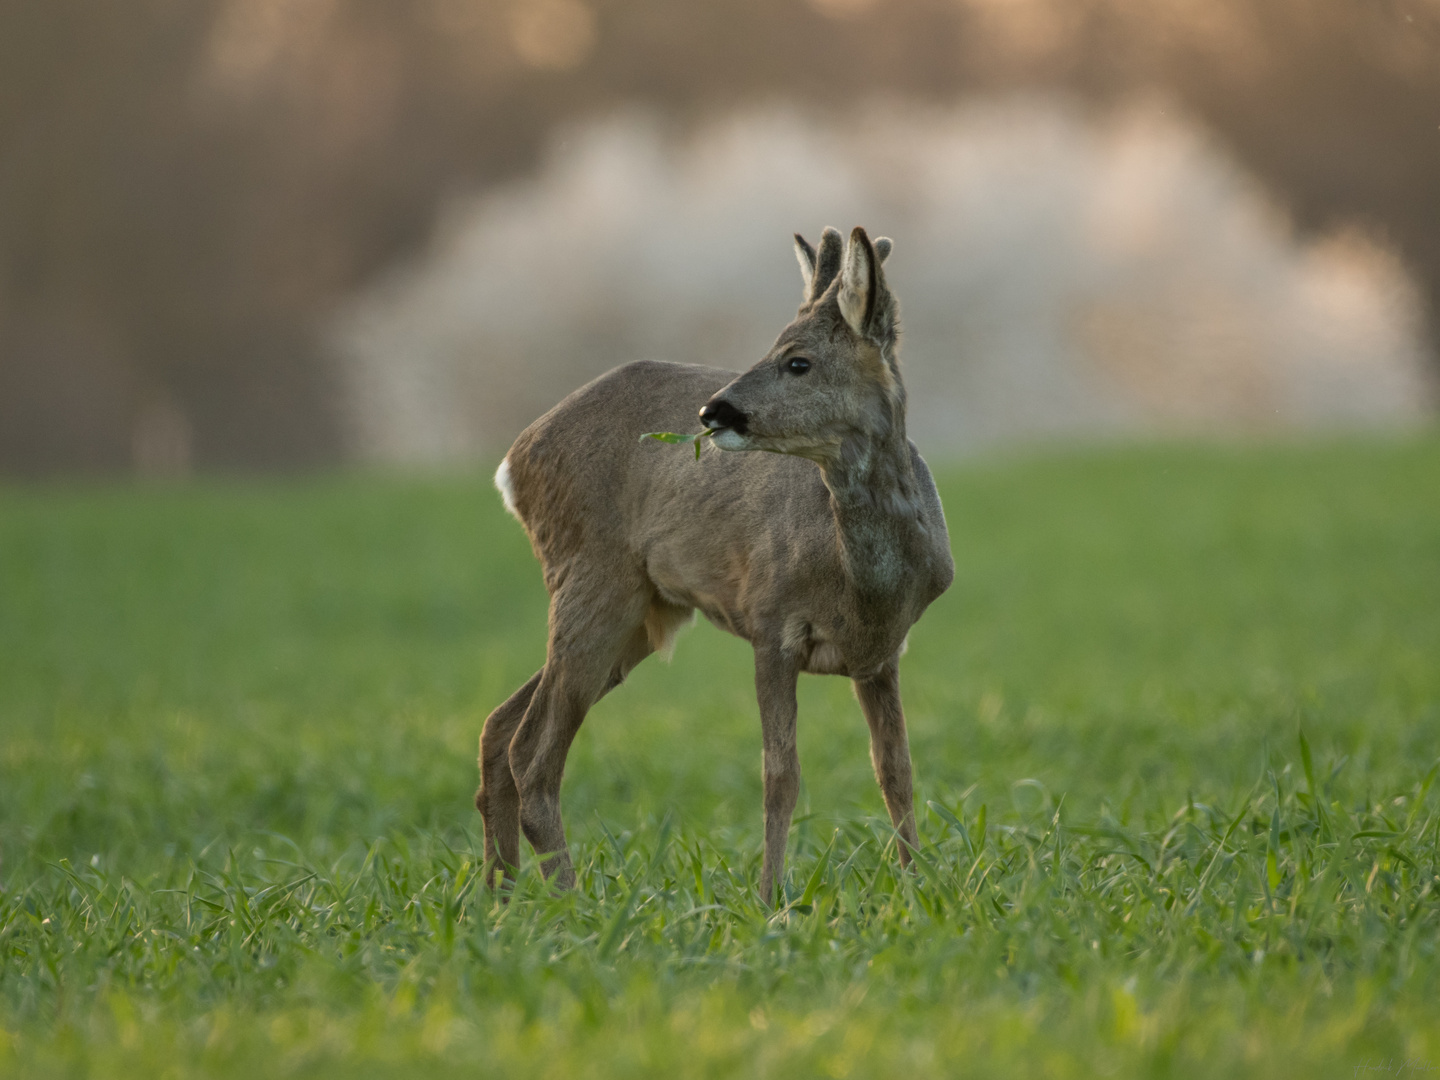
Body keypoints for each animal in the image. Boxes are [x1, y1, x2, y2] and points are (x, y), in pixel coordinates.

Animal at [478, 224, 956, 898]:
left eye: (797, 361)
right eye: (772, 347)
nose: (712, 411)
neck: (862, 580)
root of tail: (513, 462)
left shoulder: (881, 654)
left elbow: (896, 771)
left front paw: (917, 888)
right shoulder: (771, 622)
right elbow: (780, 774)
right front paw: (771, 896)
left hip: (637, 616)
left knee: (498, 726)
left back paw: (499, 898)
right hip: (591, 580)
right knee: (532, 752)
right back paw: (566, 899)